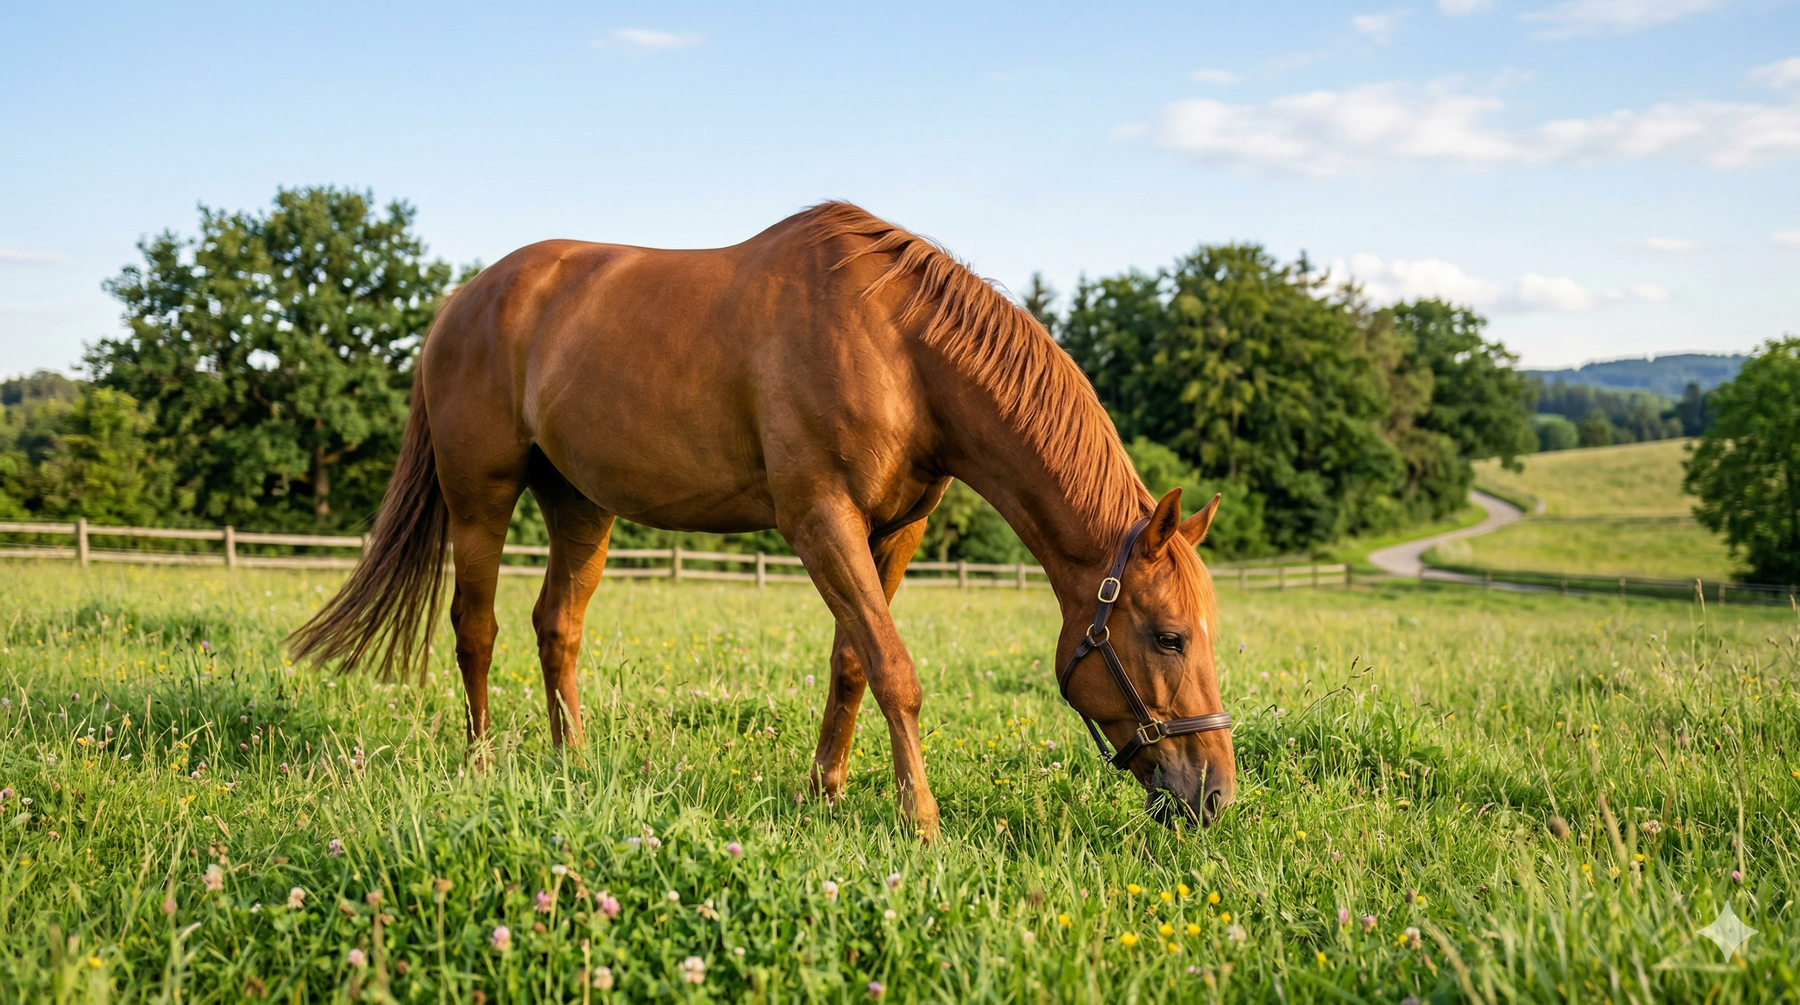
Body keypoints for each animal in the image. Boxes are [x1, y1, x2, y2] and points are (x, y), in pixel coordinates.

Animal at [288, 202, 1236, 839]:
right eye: (1170, 636)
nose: (1216, 792)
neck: (898, 348)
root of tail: (462, 299)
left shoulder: (895, 530)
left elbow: (853, 663)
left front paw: (827, 791)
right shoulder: (819, 519)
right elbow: (894, 667)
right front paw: (921, 821)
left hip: (580, 504)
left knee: (556, 627)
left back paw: (573, 764)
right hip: (480, 497)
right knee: (474, 628)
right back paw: (485, 763)